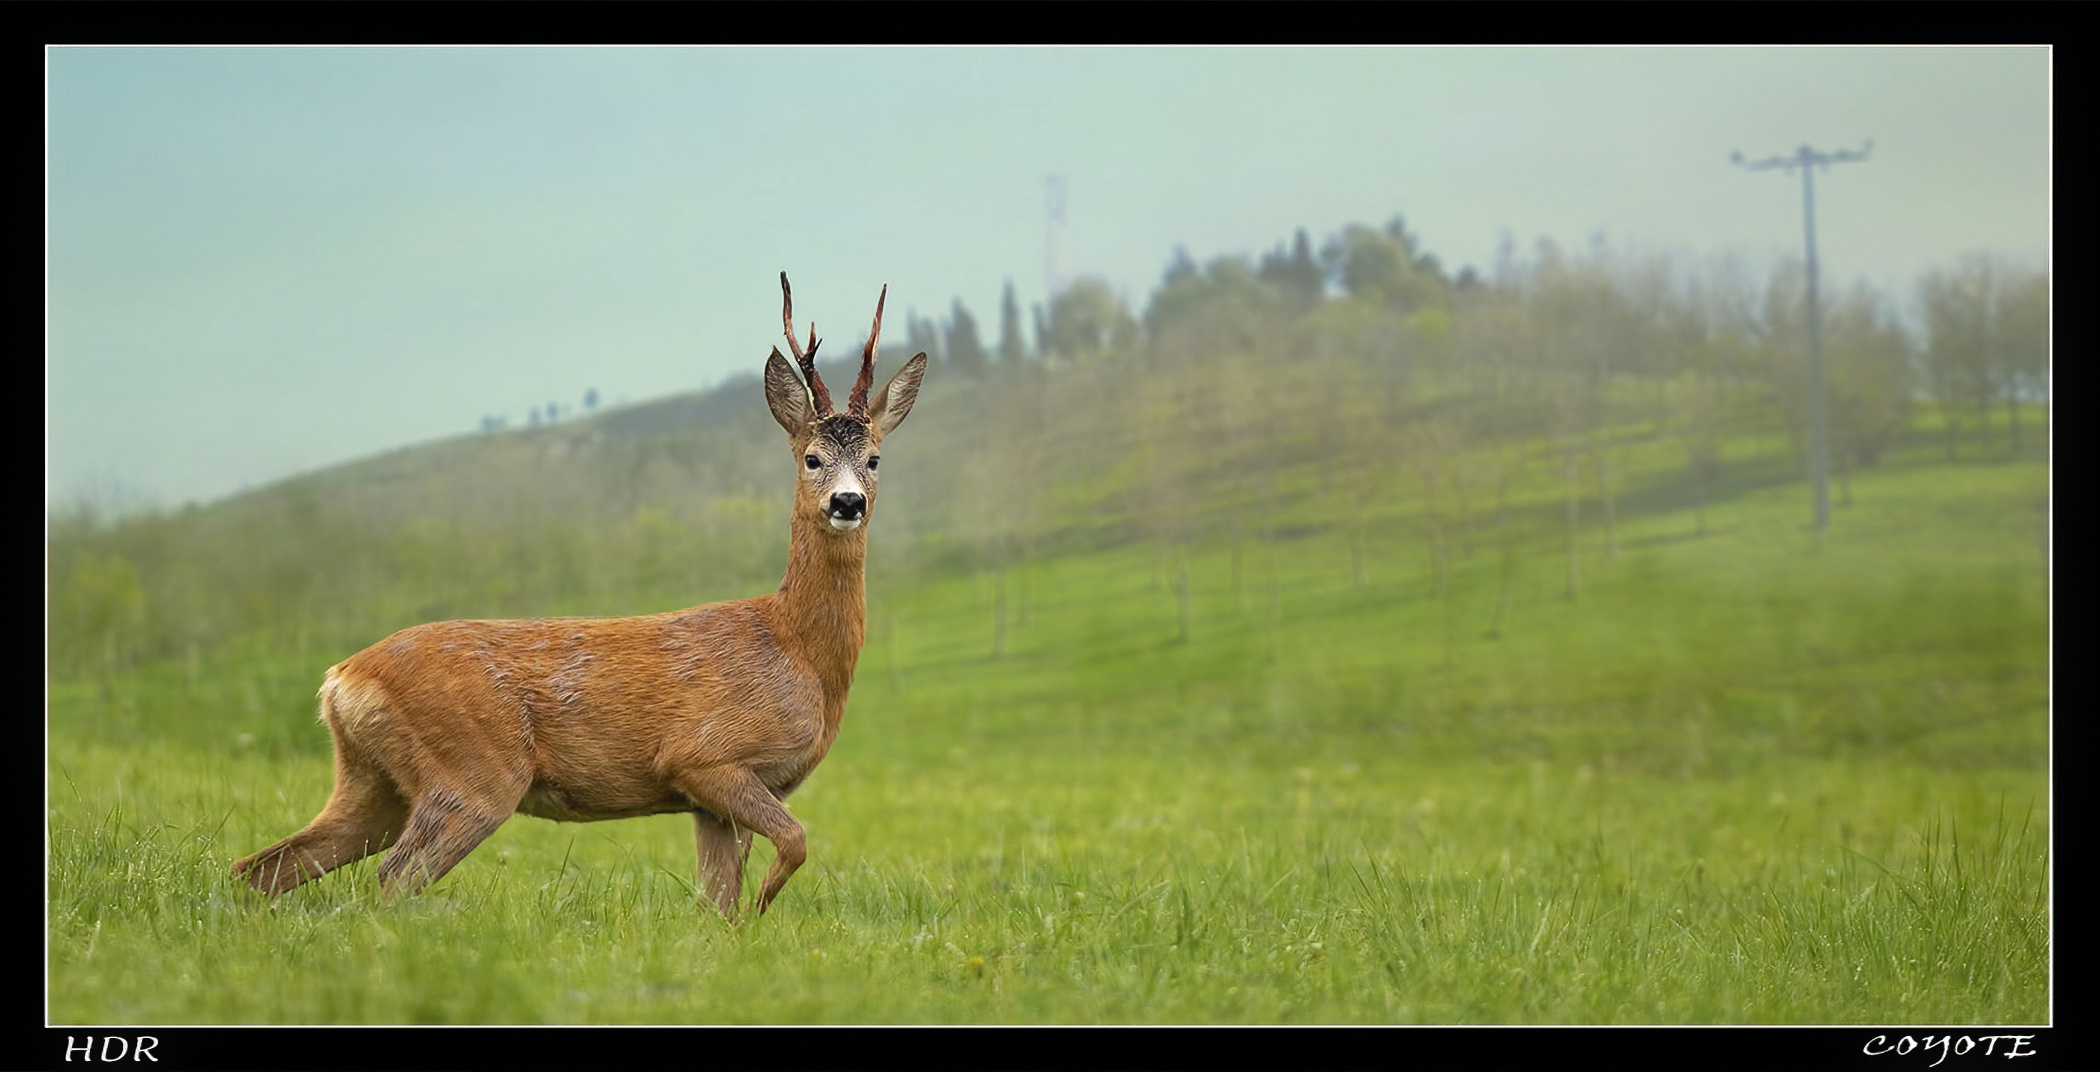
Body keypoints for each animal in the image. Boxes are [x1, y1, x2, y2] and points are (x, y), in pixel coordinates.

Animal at [229, 271, 928, 916]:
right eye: (811, 458)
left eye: (875, 460)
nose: (847, 502)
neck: (795, 648)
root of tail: (341, 680)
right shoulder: (704, 757)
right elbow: (793, 846)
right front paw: (763, 905)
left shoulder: (716, 799)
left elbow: (717, 901)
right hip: (473, 773)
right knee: (392, 876)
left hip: (372, 783)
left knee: (263, 866)